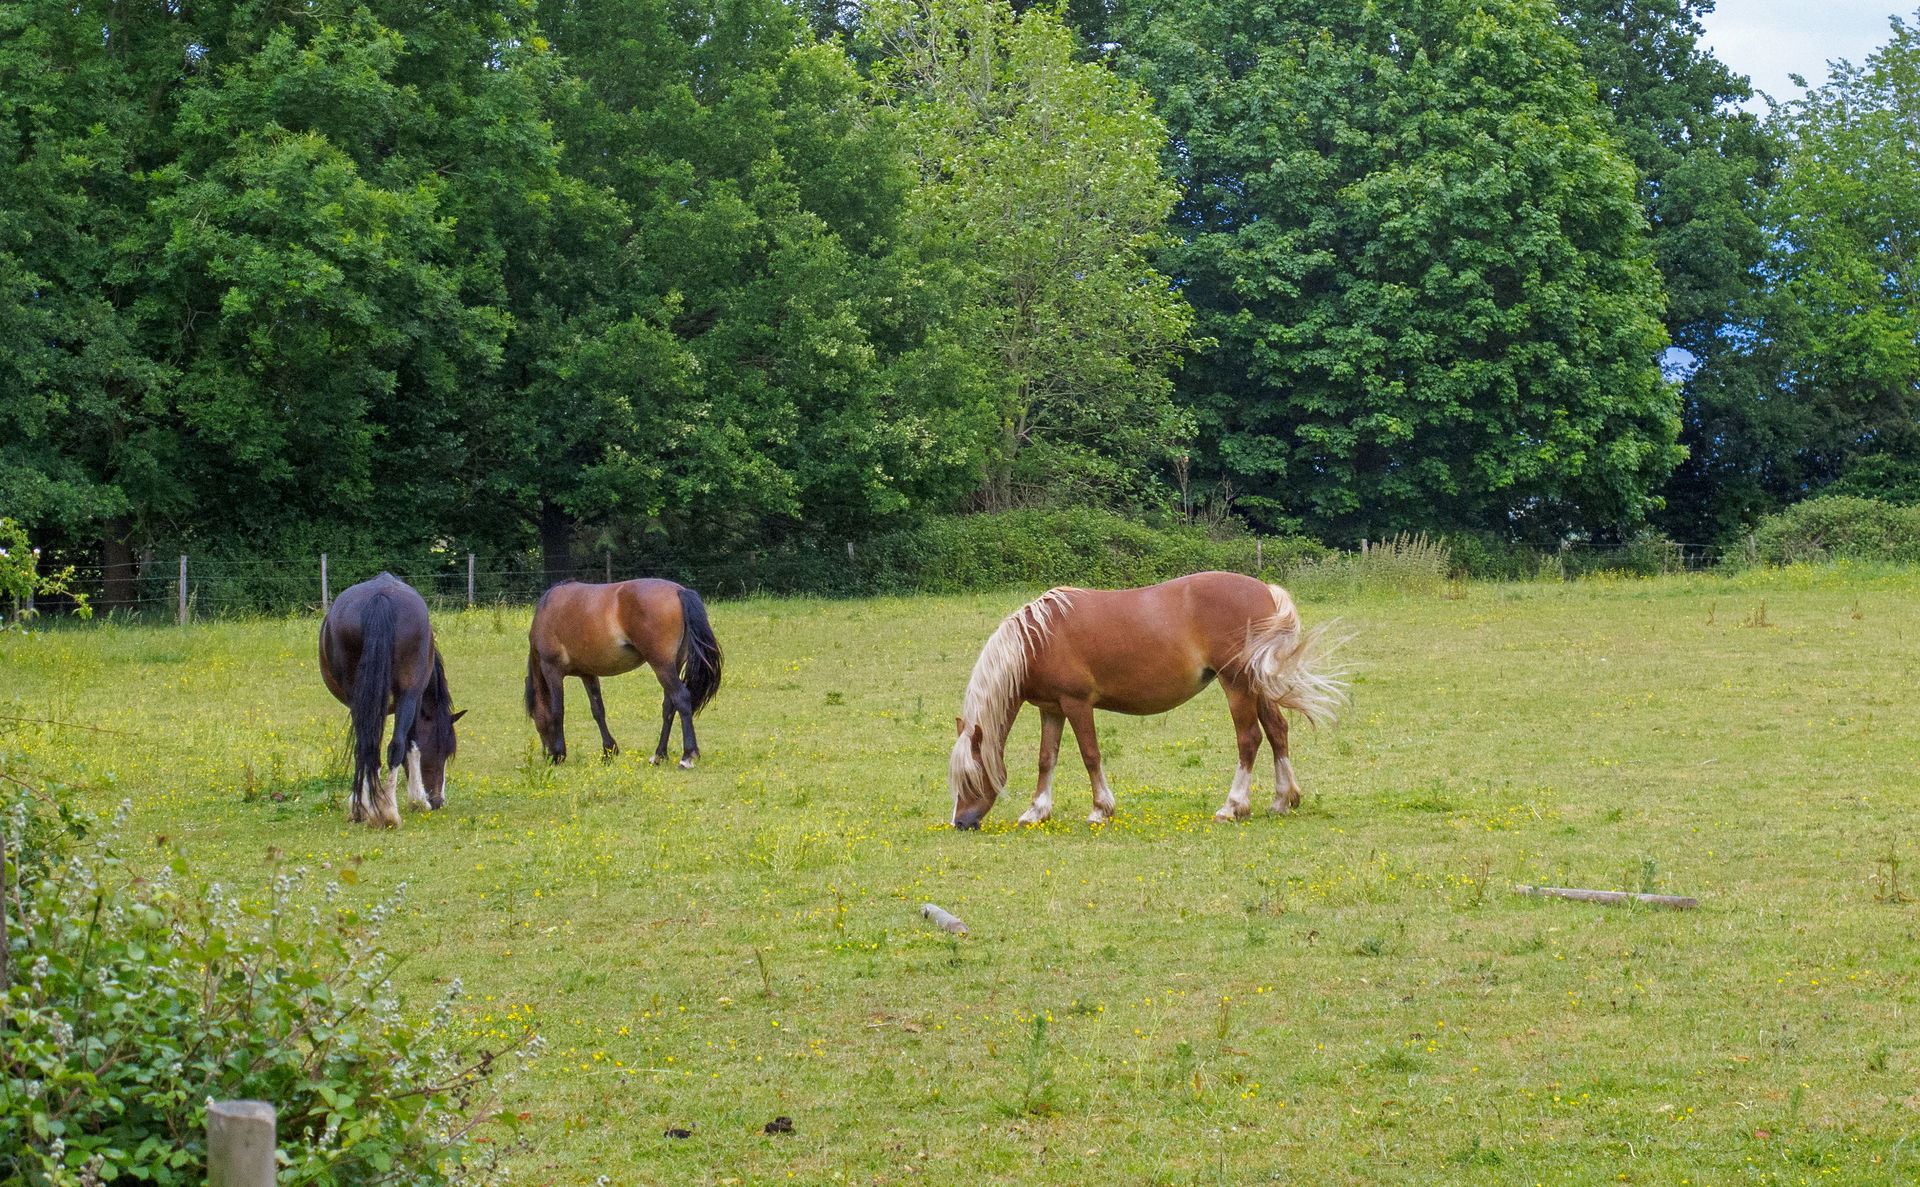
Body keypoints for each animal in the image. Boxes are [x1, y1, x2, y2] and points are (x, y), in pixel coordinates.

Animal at [318, 573, 464, 829]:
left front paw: (363, 805)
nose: (438, 801)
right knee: (392, 746)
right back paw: (387, 812)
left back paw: (371, 810)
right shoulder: (415, 700)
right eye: (443, 751)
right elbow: (412, 744)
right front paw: (417, 800)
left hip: (363, 699)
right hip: (407, 695)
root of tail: (381, 598)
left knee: (368, 747)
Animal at [525, 578, 723, 767]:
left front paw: (559, 754)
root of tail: (679, 591)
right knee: (669, 705)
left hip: (661, 665)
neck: (547, 611)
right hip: (674, 665)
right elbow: (598, 710)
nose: (547, 755)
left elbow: (557, 711)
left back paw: (687, 756)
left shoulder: (552, 670)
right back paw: (659, 755)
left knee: (681, 698)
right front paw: (608, 752)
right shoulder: (588, 673)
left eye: (535, 718)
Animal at [948, 571, 1346, 829]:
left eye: (971, 776)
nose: (960, 823)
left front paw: (1100, 809)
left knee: (1249, 740)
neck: (1038, 639)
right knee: (1278, 731)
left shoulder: (1077, 704)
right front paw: (1036, 811)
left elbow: (1090, 755)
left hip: (1237, 685)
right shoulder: (1052, 709)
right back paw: (1281, 800)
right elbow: (1047, 759)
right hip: (1255, 684)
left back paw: (1232, 807)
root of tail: (1264, 589)